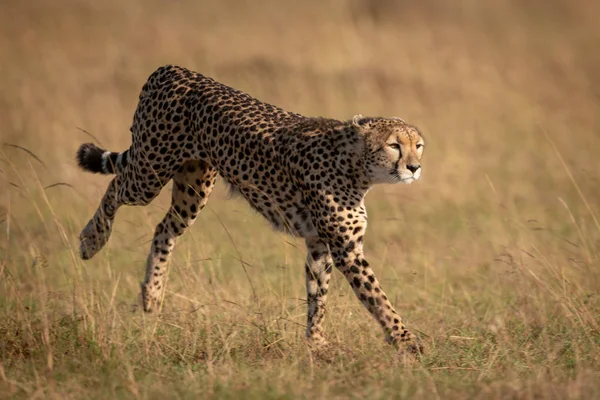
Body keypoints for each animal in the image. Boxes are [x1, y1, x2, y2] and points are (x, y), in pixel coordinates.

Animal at [76, 65, 426, 356]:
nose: (414, 167)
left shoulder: (319, 244)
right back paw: (92, 240)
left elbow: (318, 295)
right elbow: (378, 298)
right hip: (150, 171)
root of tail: (173, 69)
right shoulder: (346, 249)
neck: (355, 166)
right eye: (394, 145)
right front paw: (407, 342)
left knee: (164, 228)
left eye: (418, 145)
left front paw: (316, 343)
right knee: (117, 184)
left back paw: (152, 295)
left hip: (194, 187)